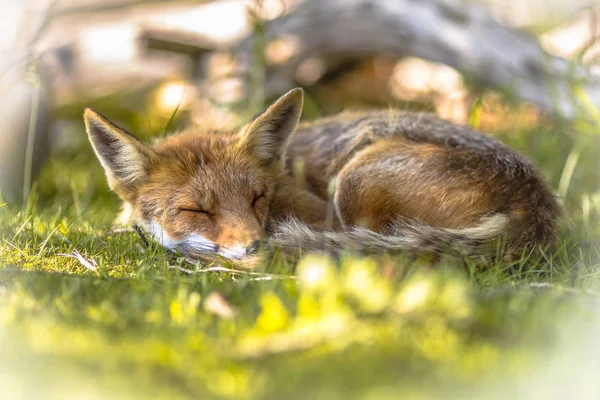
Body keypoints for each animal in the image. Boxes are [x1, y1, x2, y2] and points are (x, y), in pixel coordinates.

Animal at [83, 89, 556, 268]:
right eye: (195, 210)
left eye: (257, 198)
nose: (255, 246)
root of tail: (536, 204)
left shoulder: (316, 214)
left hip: (353, 180)